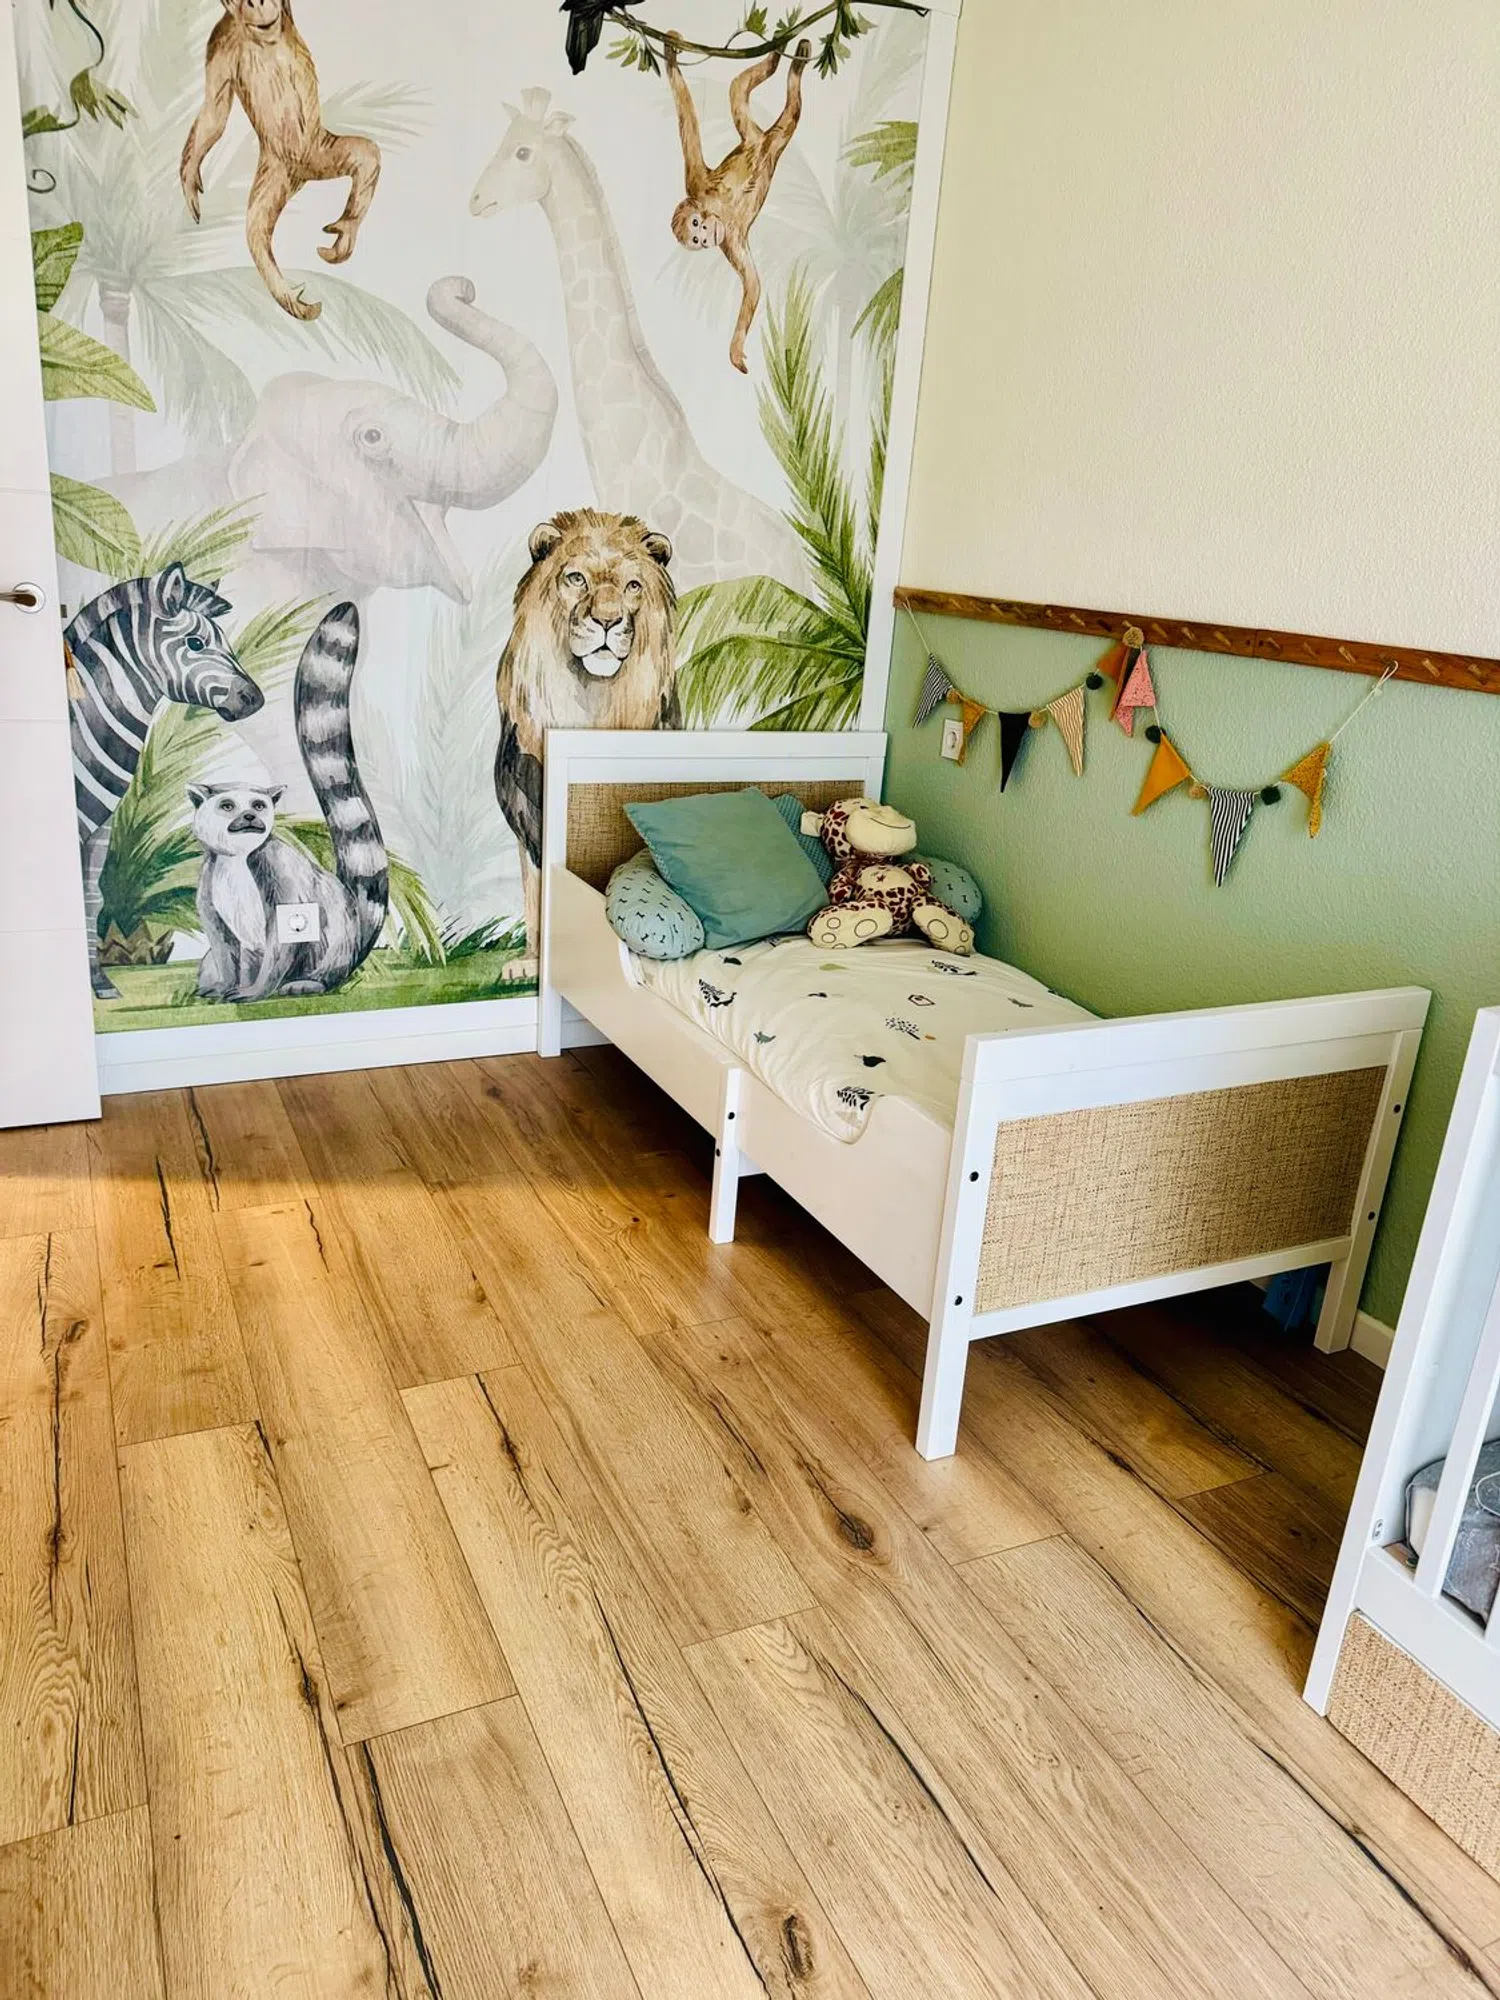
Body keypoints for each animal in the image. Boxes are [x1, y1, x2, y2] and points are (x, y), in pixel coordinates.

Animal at [494, 508, 679, 981]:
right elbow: (536, 894)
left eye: (632, 586)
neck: (591, 699)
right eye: (576, 578)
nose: (608, 621)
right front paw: (532, 964)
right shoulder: (528, 817)